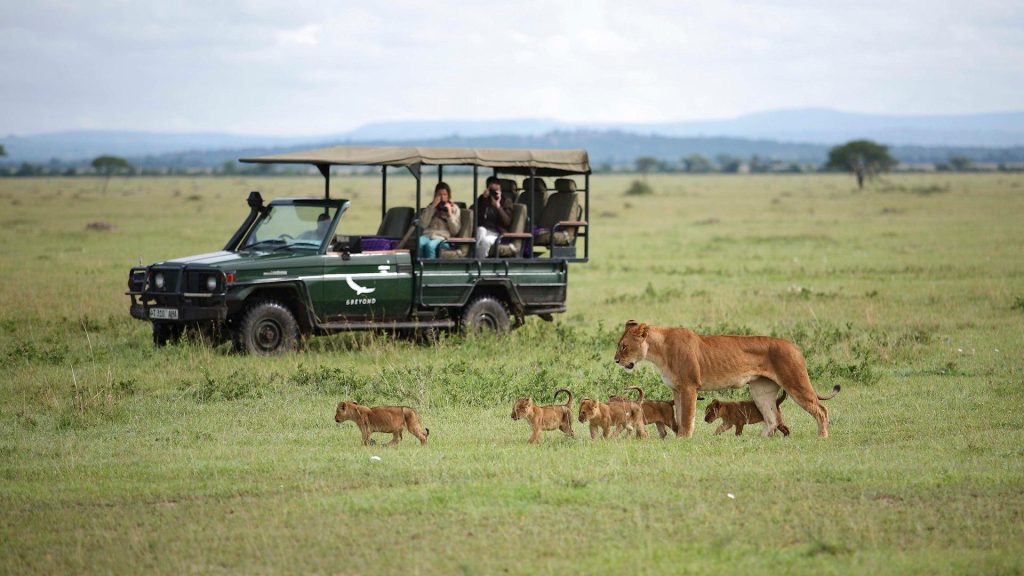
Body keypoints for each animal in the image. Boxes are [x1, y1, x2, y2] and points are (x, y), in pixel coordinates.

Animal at [614, 320, 842, 438]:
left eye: (624, 346)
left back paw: (822, 437)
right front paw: (678, 437)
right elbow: (678, 415)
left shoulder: (688, 386)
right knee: (772, 418)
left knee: (821, 409)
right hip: (761, 390)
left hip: (795, 382)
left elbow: (686, 417)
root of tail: (795, 347)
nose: (616, 360)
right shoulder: (677, 389)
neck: (658, 351)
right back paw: (759, 441)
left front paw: (683, 439)